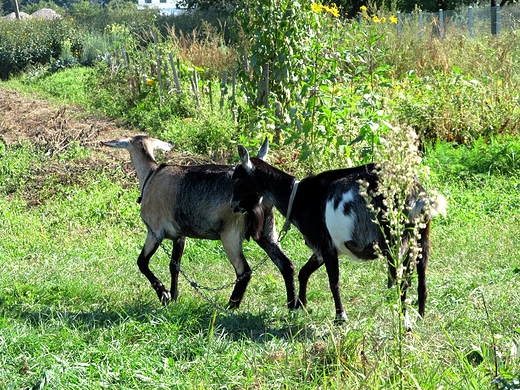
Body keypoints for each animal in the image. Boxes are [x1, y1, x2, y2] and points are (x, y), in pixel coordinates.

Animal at [102, 136, 296, 310]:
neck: (152, 175)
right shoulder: (180, 235)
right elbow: (174, 266)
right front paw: (173, 297)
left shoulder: (154, 232)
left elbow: (142, 262)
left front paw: (163, 294)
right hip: (267, 231)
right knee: (286, 265)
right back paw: (292, 305)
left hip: (231, 235)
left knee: (244, 271)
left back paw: (230, 307)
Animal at [232, 145, 446, 328]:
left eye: (237, 179)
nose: (233, 206)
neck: (298, 196)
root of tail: (416, 193)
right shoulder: (322, 248)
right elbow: (304, 272)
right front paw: (300, 306)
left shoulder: (325, 245)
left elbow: (333, 282)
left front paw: (340, 317)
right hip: (422, 235)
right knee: (422, 274)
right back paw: (420, 316)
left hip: (394, 239)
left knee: (402, 280)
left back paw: (405, 323)